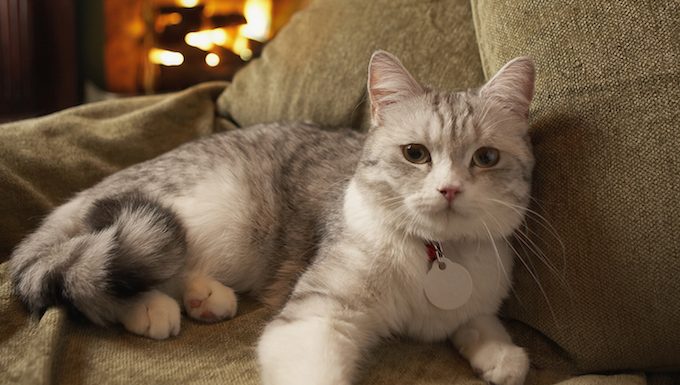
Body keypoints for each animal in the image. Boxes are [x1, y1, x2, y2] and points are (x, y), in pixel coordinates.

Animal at [9, 51, 536, 384]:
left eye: (486, 158)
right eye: (415, 154)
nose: (449, 189)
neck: (435, 254)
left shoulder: (476, 300)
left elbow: (480, 323)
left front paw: (501, 355)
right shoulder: (317, 317)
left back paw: (206, 298)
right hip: (213, 215)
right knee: (111, 271)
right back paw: (151, 306)